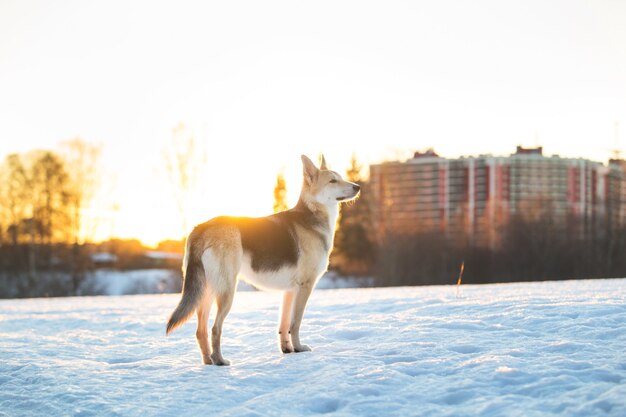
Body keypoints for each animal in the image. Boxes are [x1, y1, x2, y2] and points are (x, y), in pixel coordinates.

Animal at [166, 154, 358, 364]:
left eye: (340, 177)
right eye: (333, 181)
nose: (358, 187)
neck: (313, 213)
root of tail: (201, 228)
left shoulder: (289, 291)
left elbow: (284, 326)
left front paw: (287, 349)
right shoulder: (305, 286)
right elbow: (296, 323)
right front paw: (299, 348)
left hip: (206, 291)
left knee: (200, 331)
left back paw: (208, 361)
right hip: (226, 290)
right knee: (215, 328)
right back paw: (220, 360)